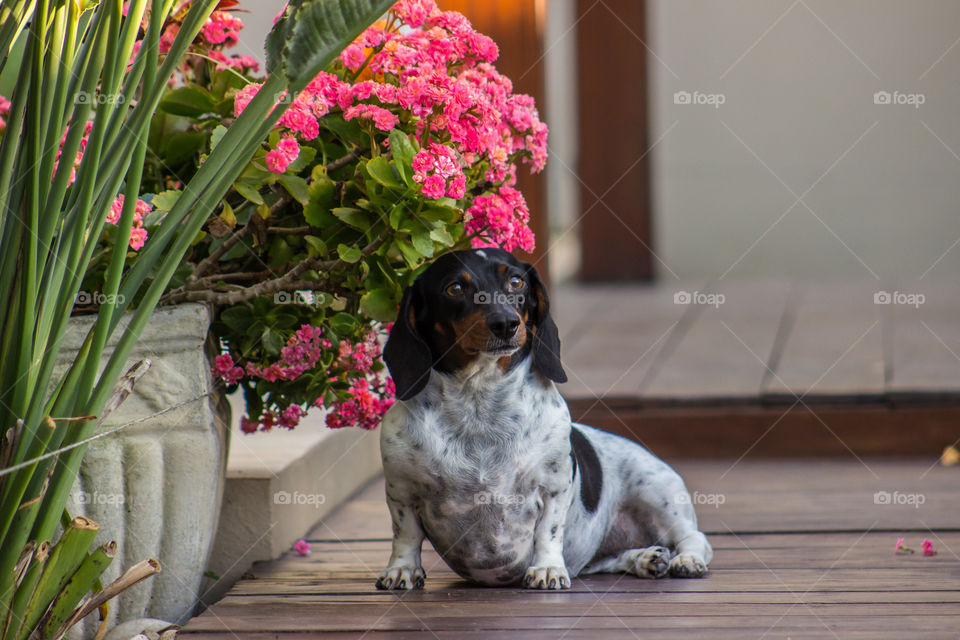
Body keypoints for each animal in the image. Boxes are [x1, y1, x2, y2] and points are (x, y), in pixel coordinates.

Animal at [376, 249, 712, 592]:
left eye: (516, 281)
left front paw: (548, 569)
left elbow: (548, 532)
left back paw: (686, 559)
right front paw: (402, 570)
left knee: (694, 537)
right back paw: (645, 558)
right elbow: (405, 535)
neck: (479, 403)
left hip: (658, 493)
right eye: (455, 288)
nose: (506, 323)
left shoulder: (553, 489)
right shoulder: (402, 493)